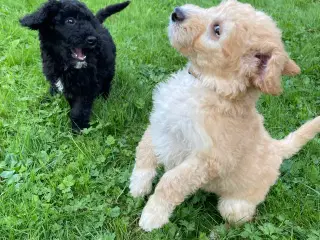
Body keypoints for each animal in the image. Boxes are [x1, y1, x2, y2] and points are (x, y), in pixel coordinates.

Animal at [20, 0, 129, 131]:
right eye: (70, 21)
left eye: (88, 20)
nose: (94, 40)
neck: (65, 64)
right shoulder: (55, 78)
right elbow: (56, 93)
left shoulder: (86, 86)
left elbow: (78, 111)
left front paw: (78, 129)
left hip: (108, 68)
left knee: (106, 83)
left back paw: (104, 98)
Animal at [129, 0, 318, 232]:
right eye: (214, 8)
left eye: (217, 30)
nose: (177, 12)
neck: (205, 85)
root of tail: (276, 149)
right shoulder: (159, 122)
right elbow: (144, 150)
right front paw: (138, 184)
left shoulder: (208, 159)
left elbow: (171, 180)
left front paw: (153, 215)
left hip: (236, 206)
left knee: (242, 218)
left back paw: (219, 232)